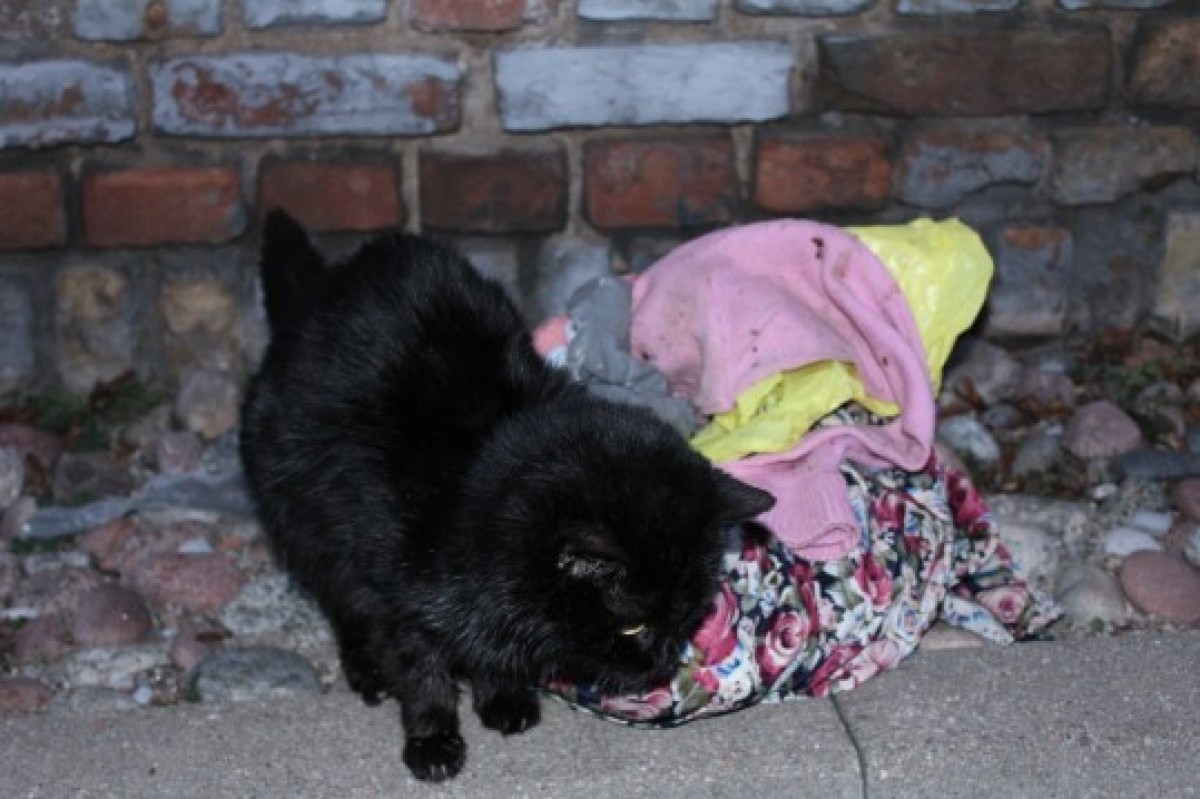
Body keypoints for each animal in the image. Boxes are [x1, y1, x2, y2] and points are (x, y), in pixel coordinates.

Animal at [238, 210, 774, 782]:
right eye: (633, 627)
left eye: (689, 618)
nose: (662, 664)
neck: (475, 472)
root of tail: (321, 288)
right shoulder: (394, 592)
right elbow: (420, 670)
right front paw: (432, 738)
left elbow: (491, 654)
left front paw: (503, 696)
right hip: (304, 520)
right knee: (341, 601)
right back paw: (367, 671)